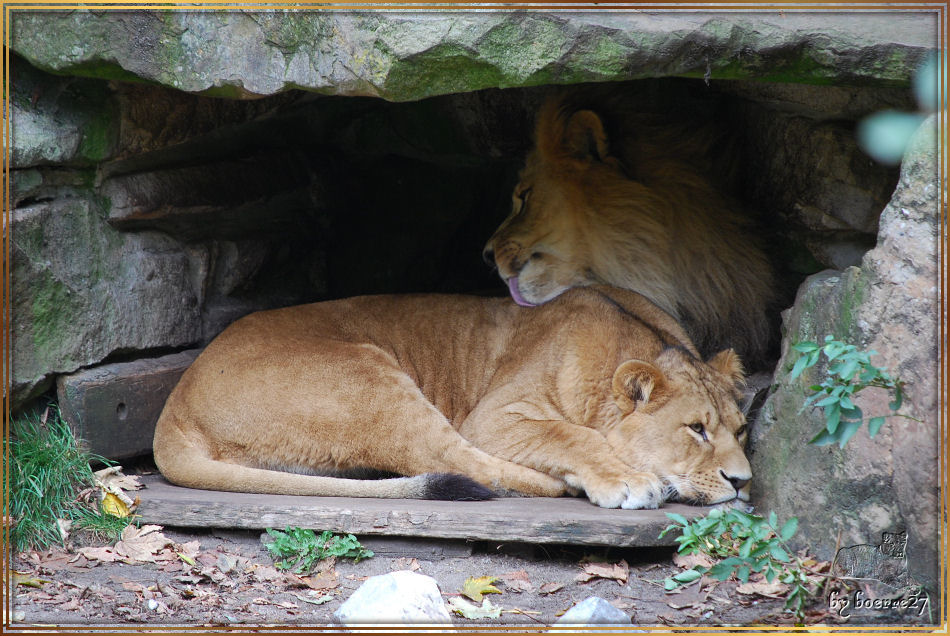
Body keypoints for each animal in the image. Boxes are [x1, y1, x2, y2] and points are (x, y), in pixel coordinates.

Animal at [154, 286, 752, 510]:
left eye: (741, 430)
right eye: (696, 429)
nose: (744, 482)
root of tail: (175, 403)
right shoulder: (493, 417)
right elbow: (572, 434)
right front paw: (626, 479)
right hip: (369, 377)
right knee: (452, 459)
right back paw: (560, 485)